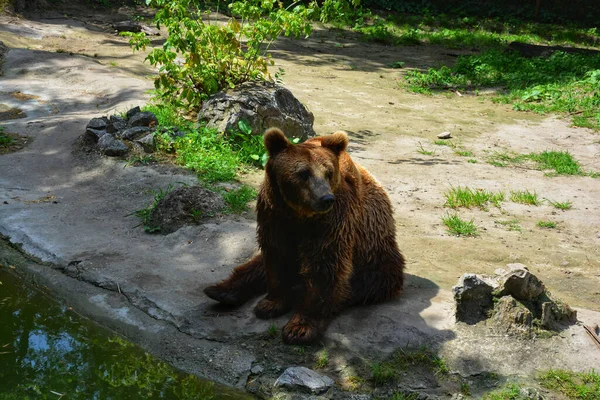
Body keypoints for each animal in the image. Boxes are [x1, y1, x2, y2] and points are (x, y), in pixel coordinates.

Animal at [204, 128, 406, 344]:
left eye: (328, 173)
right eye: (303, 173)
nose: (326, 198)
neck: (299, 214)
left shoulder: (333, 221)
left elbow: (324, 266)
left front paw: (300, 328)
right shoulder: (274, 215)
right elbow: (276, 255)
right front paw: (271, 303)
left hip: (374, 256)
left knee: (361, 283)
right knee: (256, 264)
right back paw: (221, 291)